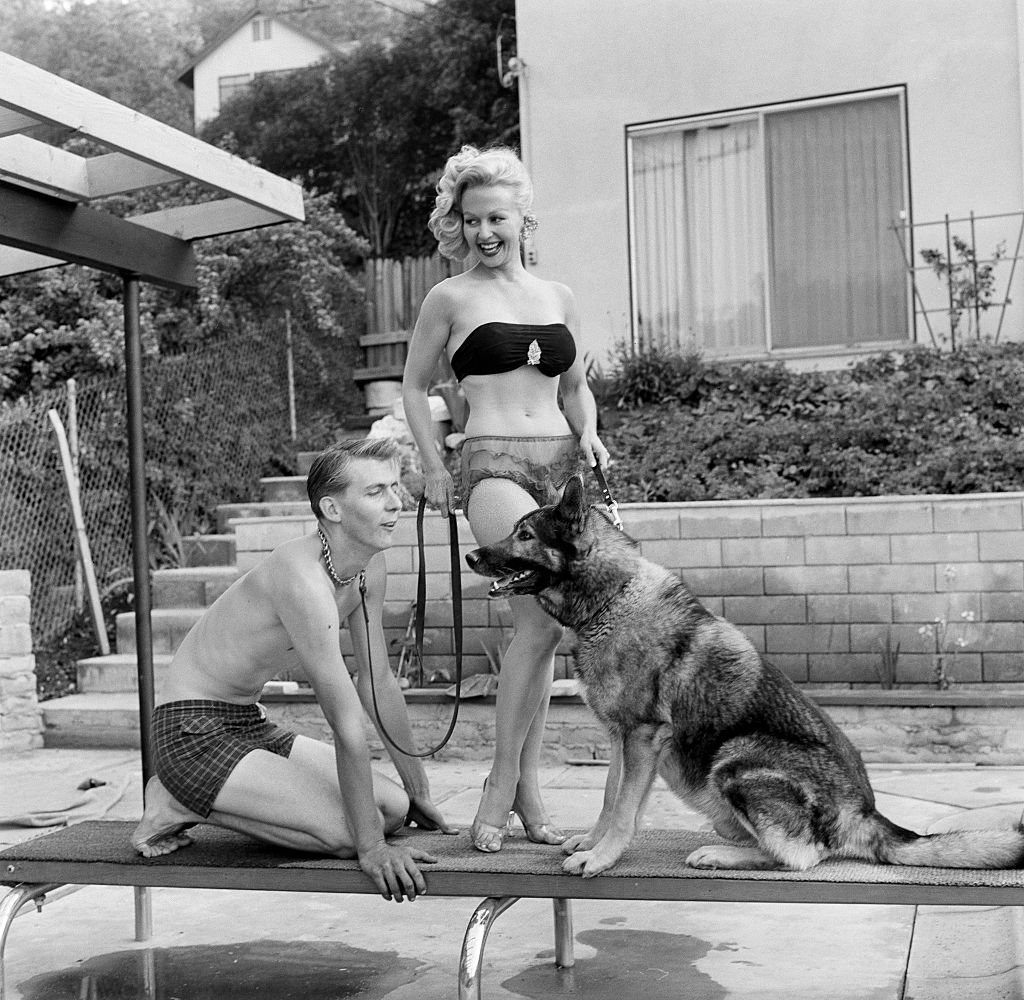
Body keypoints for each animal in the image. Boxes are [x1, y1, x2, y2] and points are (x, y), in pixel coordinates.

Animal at [466, 476, 1024, 876]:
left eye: (524, 535)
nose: (470, 555)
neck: (611, 598)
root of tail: (865, 815)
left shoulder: (642, 736)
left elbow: (624, 809)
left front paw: (601, 858)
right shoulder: (623, 739)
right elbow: (610, 798)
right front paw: (592, 843)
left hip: (735, 757)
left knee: (804, 856)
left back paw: (723, 855)